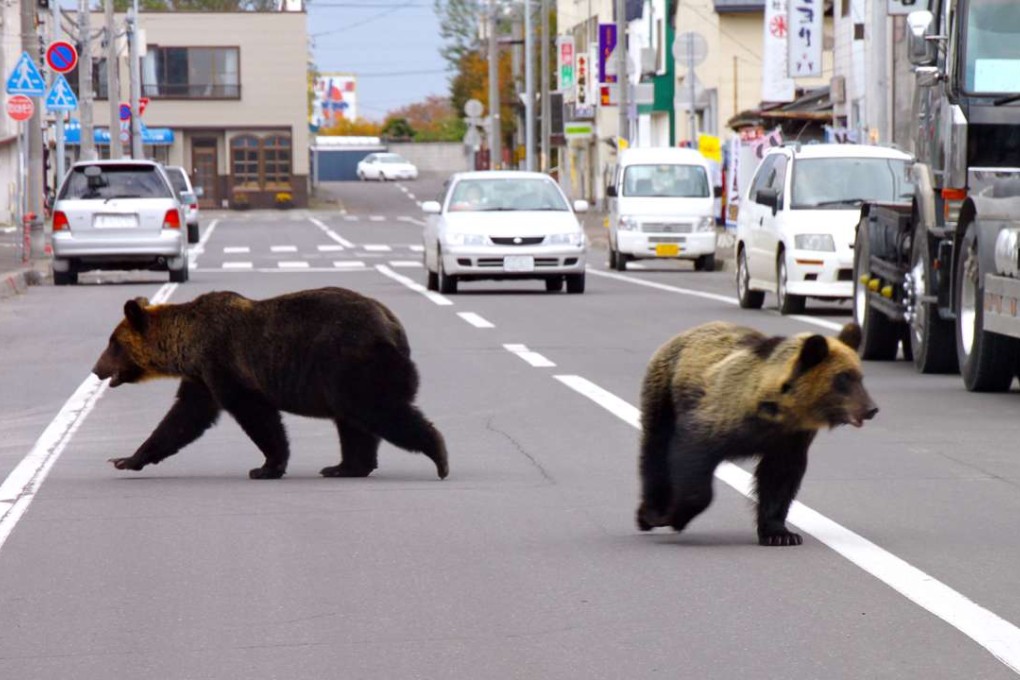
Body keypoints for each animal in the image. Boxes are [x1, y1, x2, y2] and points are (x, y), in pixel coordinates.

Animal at [92, 287, 449, 480]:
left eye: (113, 344)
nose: (96, 369)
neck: (187, 345)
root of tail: (394, 327)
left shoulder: (223, 364)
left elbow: (256, 414)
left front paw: (266, 466)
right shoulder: (201, 377)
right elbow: (183, 419)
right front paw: (126, 459)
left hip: (351, 363)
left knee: (377, 411)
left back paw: (439, 456)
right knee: (353, 422)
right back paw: (343, 466)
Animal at [636, 321, 877, 546]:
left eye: (860, 376)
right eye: (843, 377)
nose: (871, 409)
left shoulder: (790, 439)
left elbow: (779, 479)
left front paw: (781, 534)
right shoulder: (719, 417)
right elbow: (692, 456)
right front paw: (675, 516)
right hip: (665, 391)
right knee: (655, 447)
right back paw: (650, 513)